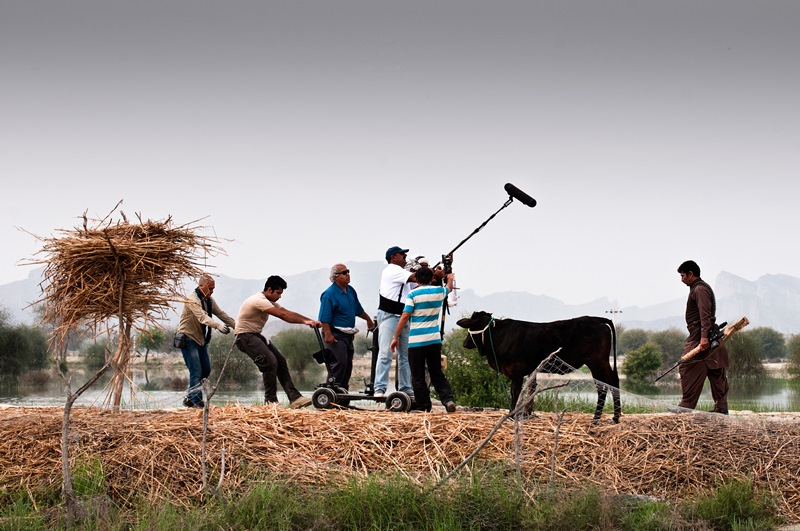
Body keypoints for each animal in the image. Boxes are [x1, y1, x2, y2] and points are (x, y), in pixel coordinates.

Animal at [456, 312, 620, 424]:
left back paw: (606, 418)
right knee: (608, 384)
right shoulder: (528, 371)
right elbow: (530, 391)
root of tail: (596, 319)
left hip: (598, 361)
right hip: (598, 363)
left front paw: (512, 415)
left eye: (471, 326)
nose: (464, 343)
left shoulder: (517, 371)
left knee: (607, 384)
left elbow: (515, 393)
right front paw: (525, 414)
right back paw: (606, 418)